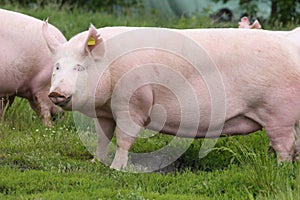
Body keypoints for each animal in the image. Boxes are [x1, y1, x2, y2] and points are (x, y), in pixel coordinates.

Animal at [42, 23, 300, 170]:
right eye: (57, 66)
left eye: (80, 67)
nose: (55, 92)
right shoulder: (105, 111)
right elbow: (102, 137)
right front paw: (96, 162)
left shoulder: (132, 103)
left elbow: (124, 138)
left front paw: (116, 169)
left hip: (278, 113)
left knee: (284, 144)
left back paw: (282, 168)